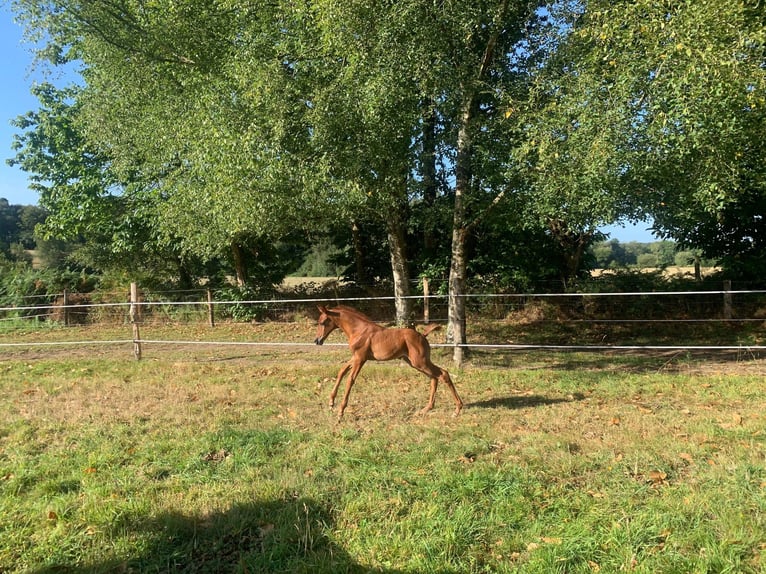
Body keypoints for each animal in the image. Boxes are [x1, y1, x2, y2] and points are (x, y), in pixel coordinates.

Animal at [312, 308, 462, 420]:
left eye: (322, 322)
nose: (317, 341)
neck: (358, 330)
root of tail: (423, 336)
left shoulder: (360, 358)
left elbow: (350, 380)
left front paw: (340, 412)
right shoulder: (355, 357)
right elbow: (341, 371)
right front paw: (331, 403)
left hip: (420, 361)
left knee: (443, 374)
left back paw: (457, 410)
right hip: (415, 362)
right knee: (434, 377)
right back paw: (425, 409)